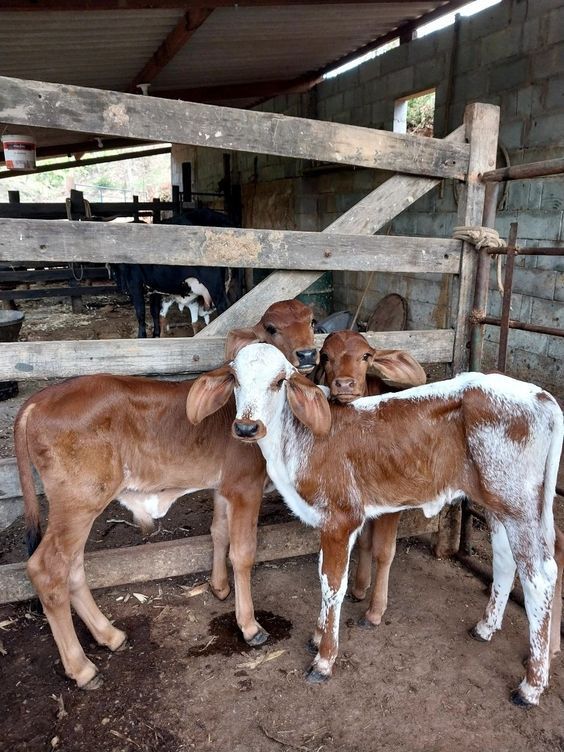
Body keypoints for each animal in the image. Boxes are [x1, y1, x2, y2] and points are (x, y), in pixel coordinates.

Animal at [14, 300, 318, 689]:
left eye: (312, 320)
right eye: (271, 327)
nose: (307, 353)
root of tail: (38, 399)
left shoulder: (223, 487)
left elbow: (218, 532)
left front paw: (219, 588)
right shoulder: (244, 487)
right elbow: (243, 553)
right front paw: (249, 625)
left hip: (79, 509)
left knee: (74, 567)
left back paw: (110, 636)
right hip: (77, 503)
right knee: (48, 569)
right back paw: (81, 668)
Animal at [188, 342, 563, 706]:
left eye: (279, 381)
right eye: (235, 379)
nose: (246, 427)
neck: (295, 445)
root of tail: (540, 395)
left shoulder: (342, 517)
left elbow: (332, 584)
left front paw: (324, 659)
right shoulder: (328, 523)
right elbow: (325, 573)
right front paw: (317, 636)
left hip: (518, 503)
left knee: (539, 576)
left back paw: (531, 686)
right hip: (496, 504)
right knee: (505, 560)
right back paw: (486, 628)